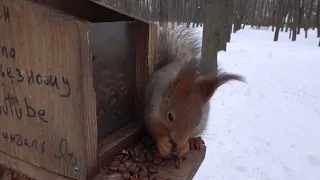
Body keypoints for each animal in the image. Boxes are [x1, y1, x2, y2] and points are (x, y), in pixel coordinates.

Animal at [143, 23, 245, 158]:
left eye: (197, 122)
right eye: (170, 116)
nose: (178, 141)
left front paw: (184, 146)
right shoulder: (151, 109)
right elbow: (155, 129)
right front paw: (164, 144)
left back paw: (195, 141)